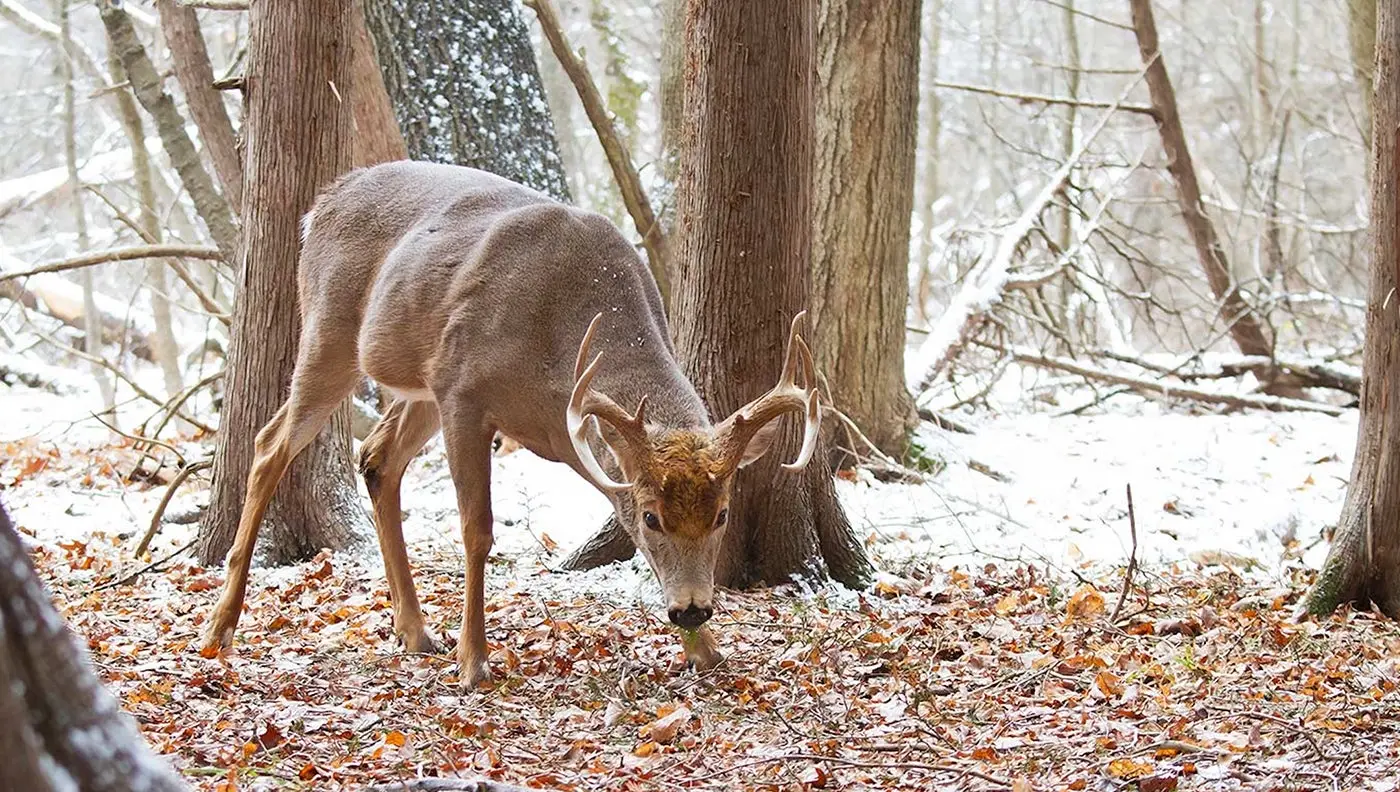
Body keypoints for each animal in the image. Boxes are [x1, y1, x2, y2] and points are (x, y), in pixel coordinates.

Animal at [203, 163, 823, 688]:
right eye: (651, 517)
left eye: (721, 515)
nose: (693, 608)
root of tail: (322, 203)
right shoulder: (464, 392)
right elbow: (477, 530)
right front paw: (474, 660)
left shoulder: (462, 392)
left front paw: (704, 651)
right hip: (331, 334)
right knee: (269, 444)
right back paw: (221, 627)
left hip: (420, 381)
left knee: (377, 458)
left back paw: (414, 630)